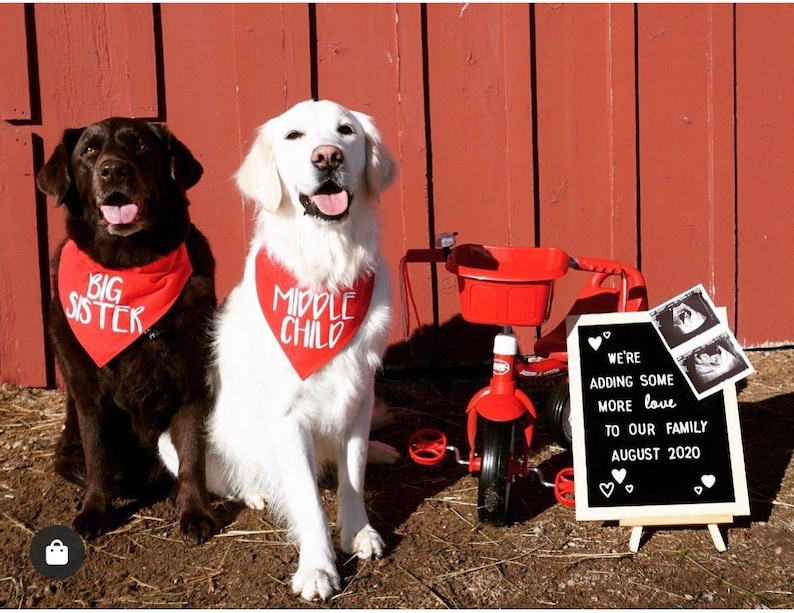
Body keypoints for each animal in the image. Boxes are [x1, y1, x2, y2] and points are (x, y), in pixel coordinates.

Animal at [159, 99, 396, 596]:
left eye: (346, 131)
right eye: (293, 136)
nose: (328, 157)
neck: (326, 273)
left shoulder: (359, 396)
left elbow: (353, 473)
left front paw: (358, 531)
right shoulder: (288, 416)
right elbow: (307, 499)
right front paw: (318, 567)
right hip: (175, 440)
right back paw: (256, 490)